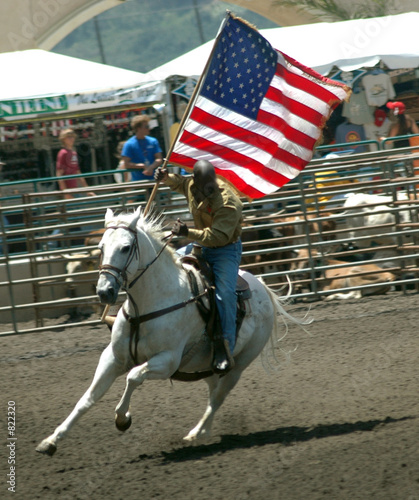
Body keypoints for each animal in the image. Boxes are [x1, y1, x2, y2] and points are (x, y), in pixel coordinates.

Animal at [36, 205, 310, 456]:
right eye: (101, 247)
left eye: (126, 247)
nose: (105, 292)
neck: (148, 305)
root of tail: (263, 287)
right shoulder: (112, 357)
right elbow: (87, 398)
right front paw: (50, 441)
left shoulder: (167, 361)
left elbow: (133, 376)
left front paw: (122, 418)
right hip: (207, 364)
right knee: (213, 391)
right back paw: (203, 431)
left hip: (238, 365)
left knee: (218, 397)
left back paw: (196, 433)